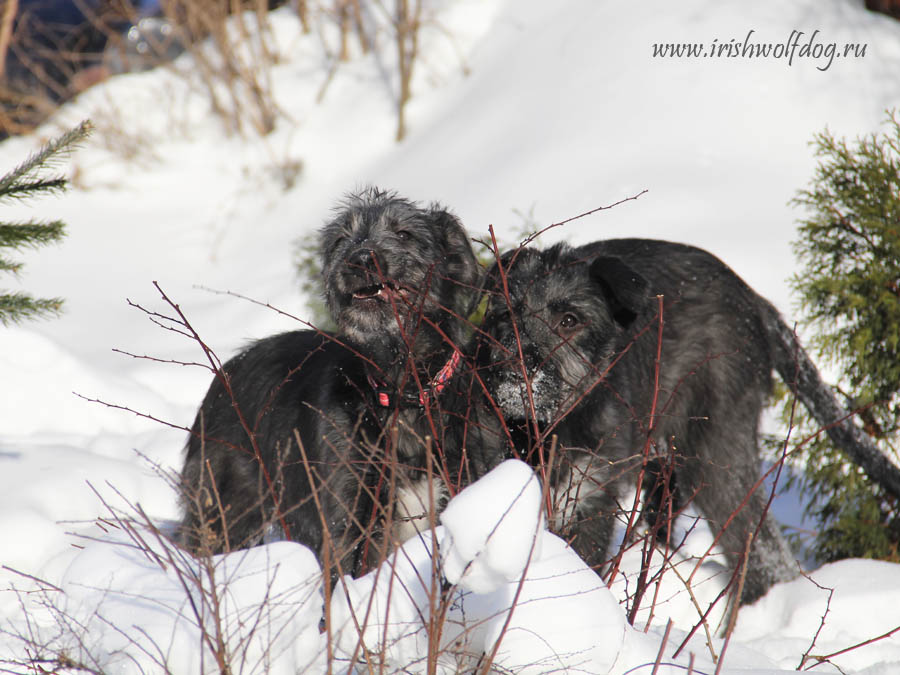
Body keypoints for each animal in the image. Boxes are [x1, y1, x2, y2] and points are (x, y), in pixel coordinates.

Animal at [176, 189, 500, 576]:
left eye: (404, 233)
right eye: (341, 240)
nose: (359, 259)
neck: (401, 391)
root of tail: (225, 373)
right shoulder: (348, 523)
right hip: (225, 510)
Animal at [482, 242, 804, 608]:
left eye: (569, 321)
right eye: (506, 314)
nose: (514, 370)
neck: (549, 424)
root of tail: (753, 299)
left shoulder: (592, 502)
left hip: (717, 453)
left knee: (761, 547)